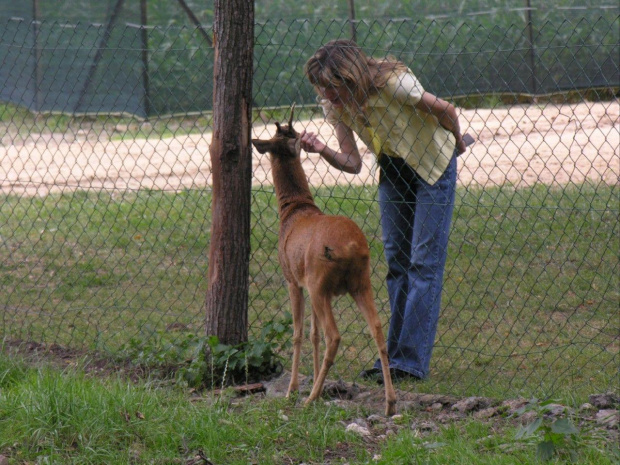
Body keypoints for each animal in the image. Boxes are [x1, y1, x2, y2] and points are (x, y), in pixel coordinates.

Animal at [252, 106, 398, 416]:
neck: (293, 211)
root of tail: (352, 247)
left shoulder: (293, 279)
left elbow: (298, 334)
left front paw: (293, 390)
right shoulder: (309, 285)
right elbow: (313, 334)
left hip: (321, 283)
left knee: (335, 336)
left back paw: (311, 398)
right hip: (360, 283)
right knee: (378, 329)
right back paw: (389, 403)